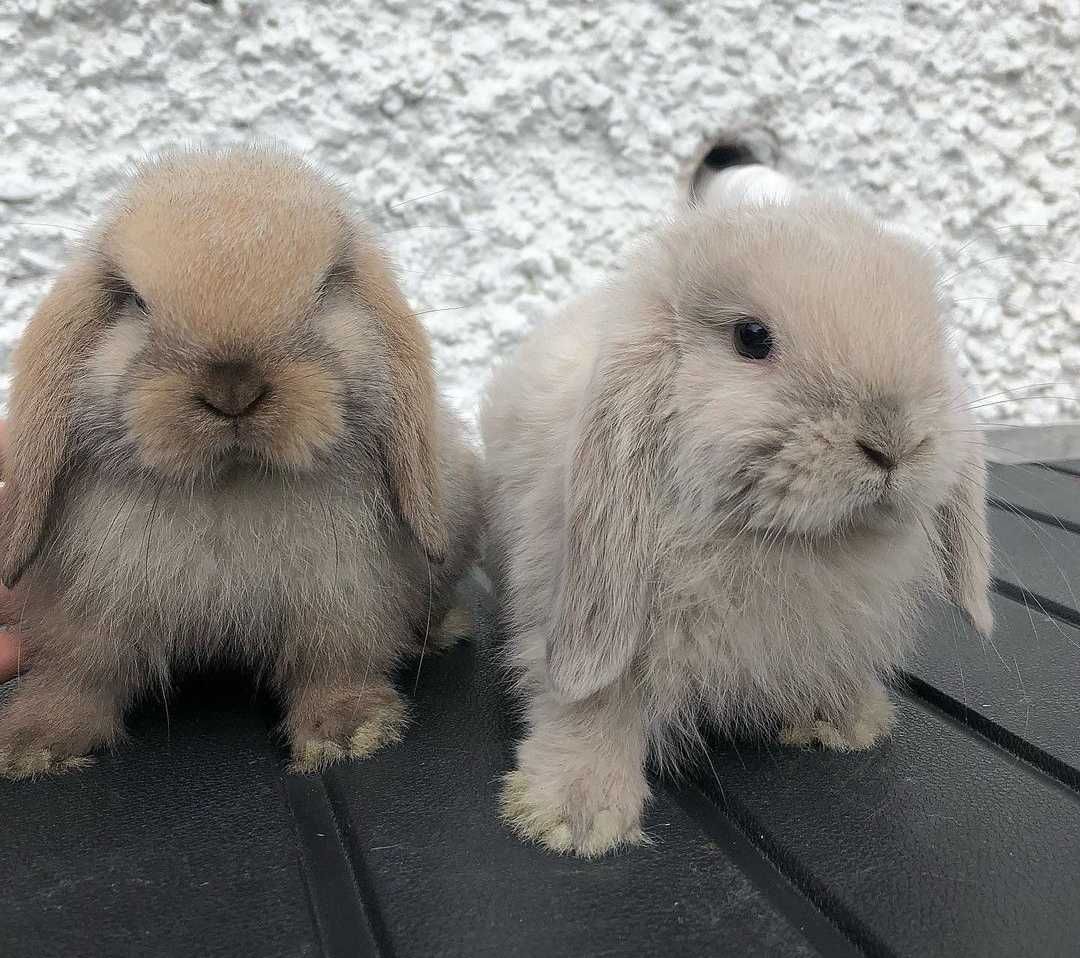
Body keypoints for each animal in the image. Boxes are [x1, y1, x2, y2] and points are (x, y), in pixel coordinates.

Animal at [0, 144, 481, 777]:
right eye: (133, 299)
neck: (232, 482)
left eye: (325, 288)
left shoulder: (341, 598)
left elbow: (335, 662)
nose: (233, 388)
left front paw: (349, 733)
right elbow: (77, 673)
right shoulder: (87, 608)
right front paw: (35, 743)